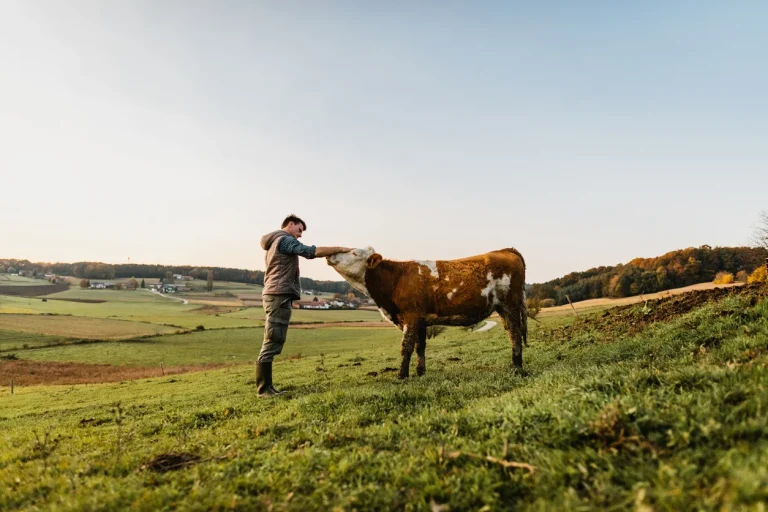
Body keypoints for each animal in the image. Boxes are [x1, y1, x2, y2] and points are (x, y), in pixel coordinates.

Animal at [326, 247, 527, 379]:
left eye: (354, 253)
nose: (330, 255)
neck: (396, 279)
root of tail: (505, 250)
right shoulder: (421, 320)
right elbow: (419, 347)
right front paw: (420, 372)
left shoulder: (411, 316)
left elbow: (406, 346)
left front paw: (402, 376)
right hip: (502, 308)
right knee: (511, 333)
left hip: (510, 305)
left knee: (515, 334)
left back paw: (517, 367)